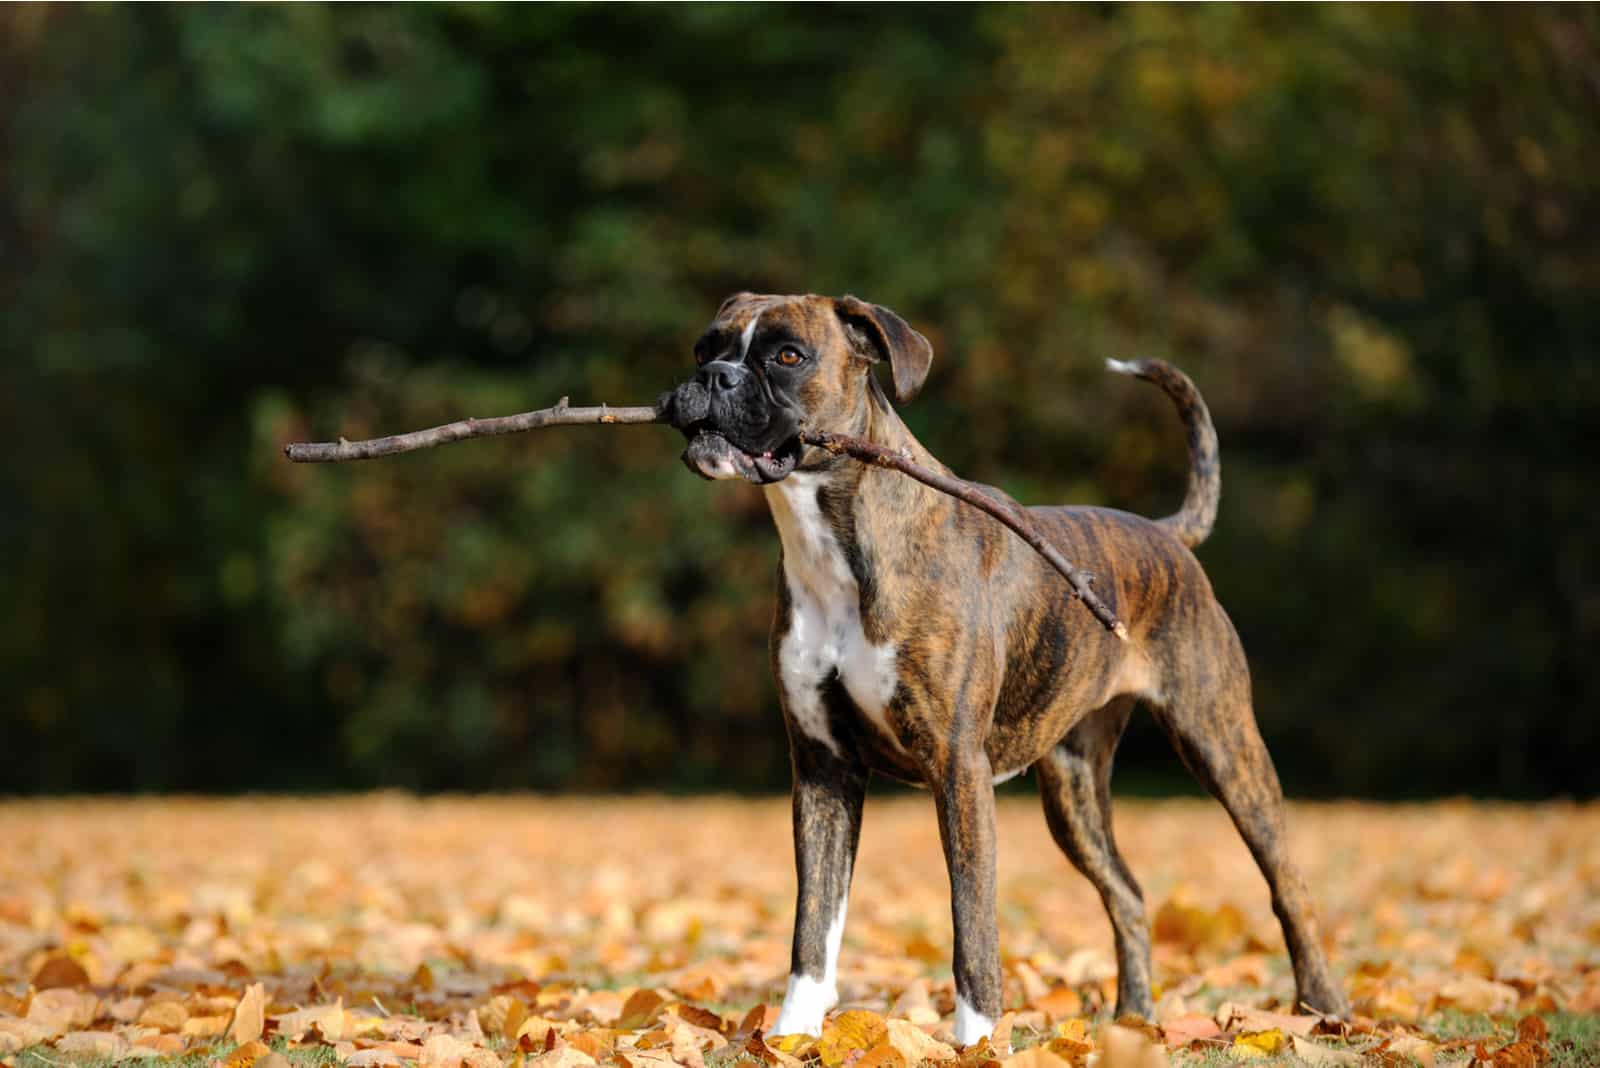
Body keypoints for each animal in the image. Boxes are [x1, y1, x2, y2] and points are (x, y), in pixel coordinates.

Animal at [662, 292, 1350, 1042]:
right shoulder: (822, 769)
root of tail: (1164, 534)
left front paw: (979, 1041)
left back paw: (1323, 1009)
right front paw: (792, 1036)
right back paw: (1134, 1022)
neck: (836, 538)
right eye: (705, 348)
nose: (715, 378)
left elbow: (971, 922)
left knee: (1289, 887)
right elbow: (813, 923)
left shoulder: (957, 769)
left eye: (789, 355)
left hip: (1225, 748)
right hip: (1074, 795)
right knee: (1128, 894)